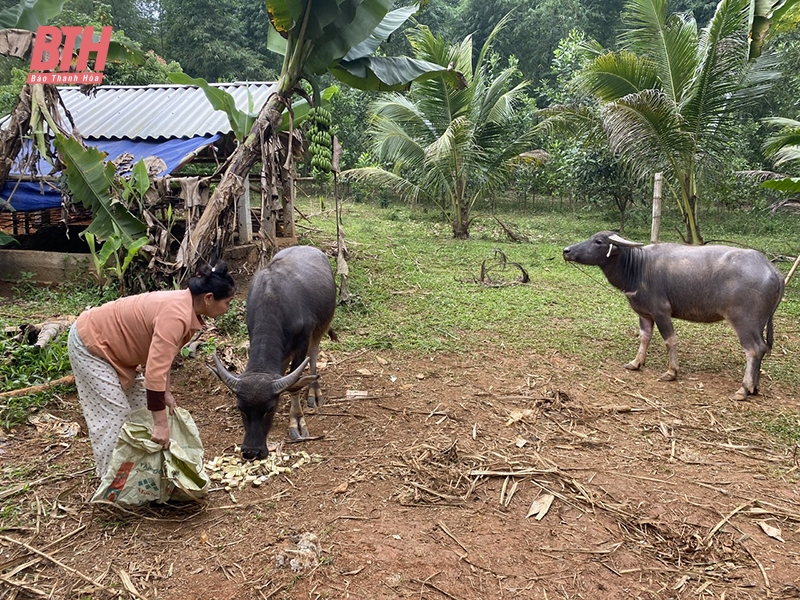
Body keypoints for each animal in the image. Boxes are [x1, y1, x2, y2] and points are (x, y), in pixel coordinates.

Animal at [208, 245, 336, 460]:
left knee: (313, 354)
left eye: (269, 408)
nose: (252, 451)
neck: (273, 300)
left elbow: (295, 385)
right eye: (240, 408)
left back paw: (314, 391)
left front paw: (297, 422)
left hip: (322, 326)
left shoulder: (303, 339)